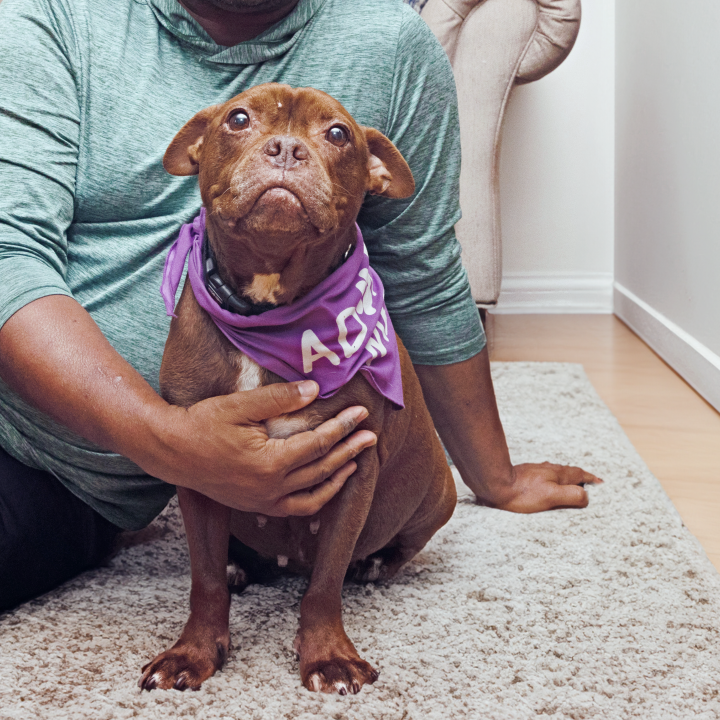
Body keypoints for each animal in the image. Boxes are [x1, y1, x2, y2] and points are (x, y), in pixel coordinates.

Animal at [139, 84, 456, 696]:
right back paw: (241, 565)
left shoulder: (353, 468)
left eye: (337, 134)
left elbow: (325, 584)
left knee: (393, 549)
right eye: (238, 118)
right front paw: (193, 652)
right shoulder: (198, 462)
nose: (286, 148)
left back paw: (372, 564)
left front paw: (328, 656)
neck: (269, 313)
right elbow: (204, 580)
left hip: (439, 494)